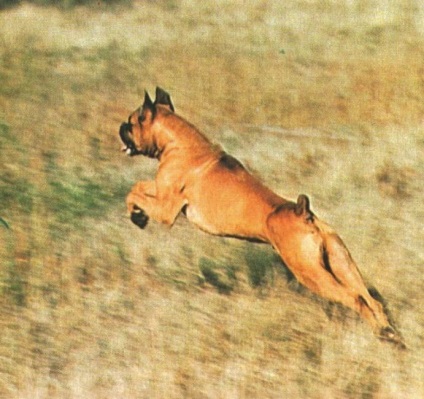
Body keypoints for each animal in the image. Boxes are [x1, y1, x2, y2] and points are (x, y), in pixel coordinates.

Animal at [119, 86, 404, 346]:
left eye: (132, 122)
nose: (121, 126)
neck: (178, 143)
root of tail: (304, 214)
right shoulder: (159, 192)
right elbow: (139, 187)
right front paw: (138, 215)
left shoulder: (166, 210)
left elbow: (133, 192)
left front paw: (137, 214)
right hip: (343, 264)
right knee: (372, 299)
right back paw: (391, 335)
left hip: (312, 274)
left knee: (356, 299)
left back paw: (382, 334)